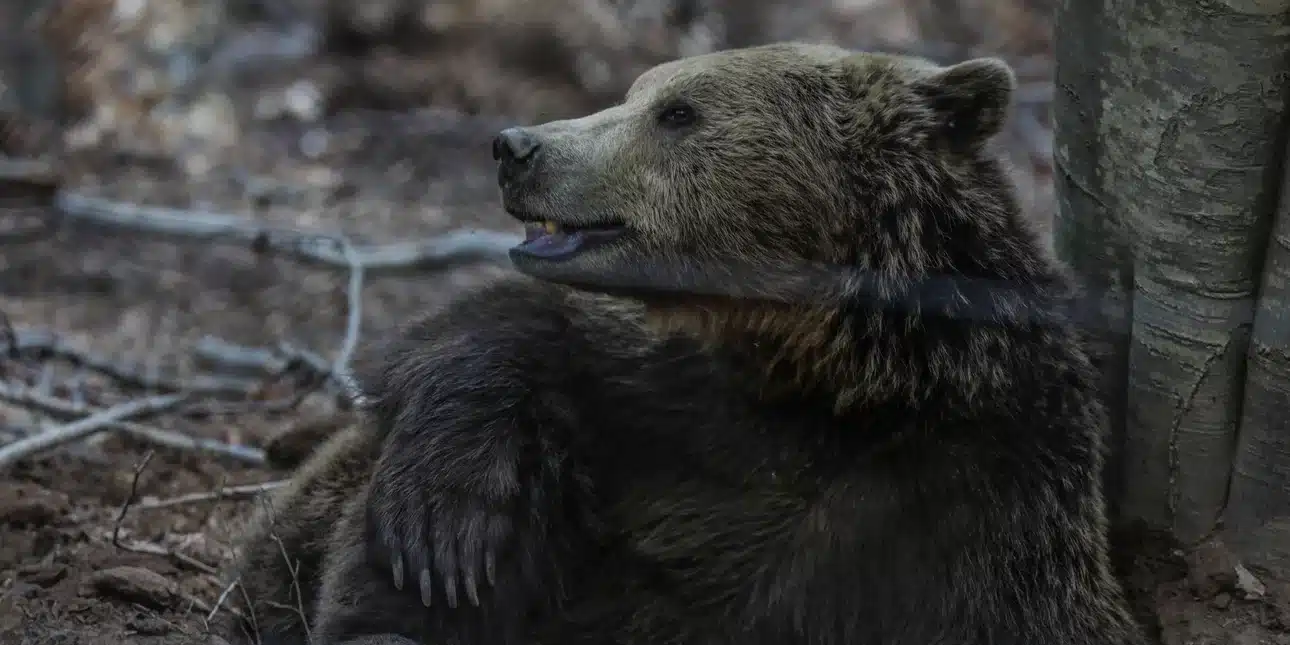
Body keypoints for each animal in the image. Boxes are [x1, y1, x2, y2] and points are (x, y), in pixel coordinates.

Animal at [224, 41, 1150, 645]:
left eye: (678, 111)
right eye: (640, 90)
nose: (516, 146)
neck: (825, 366)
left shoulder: (976, 489)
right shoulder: (659, 400)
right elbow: (491, 340)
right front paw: (443, 525)